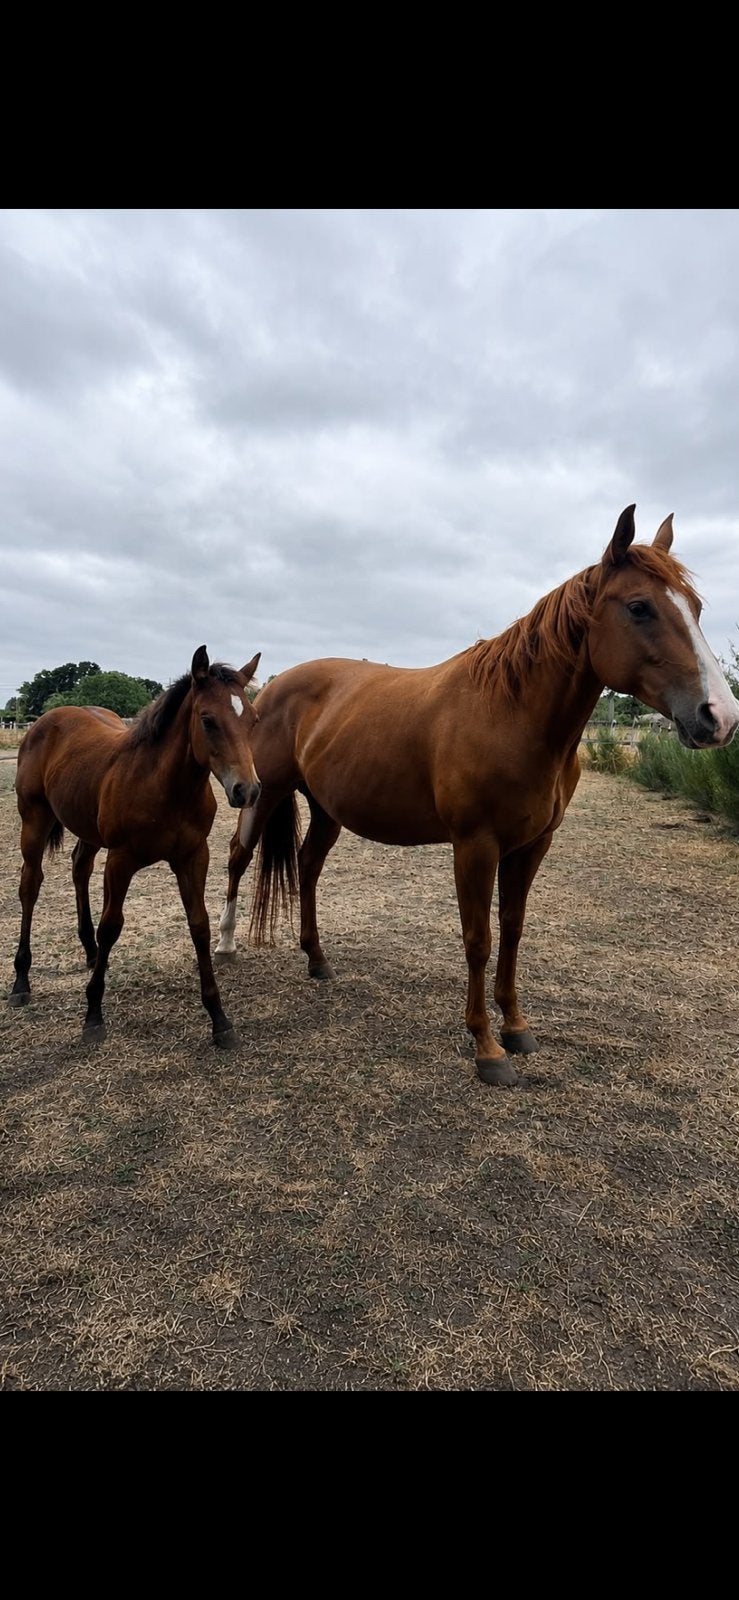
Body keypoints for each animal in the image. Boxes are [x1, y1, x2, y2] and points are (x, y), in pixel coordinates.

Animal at [9, 647, 262, 1049]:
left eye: (252, 719)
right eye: (207, 719)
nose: (247, 790)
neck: (165, 787)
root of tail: (46, 721)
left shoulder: (193, 857)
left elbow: (199, 925)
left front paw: (219, 1019)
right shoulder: (121, 860)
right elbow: (112, 926)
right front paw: (93, 1015)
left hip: (87, 829)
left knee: (79, 868)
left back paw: (91, 953)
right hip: (34, 819)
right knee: (30, 886)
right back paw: (21, 981)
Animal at [215, 507, 739, 1086]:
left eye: (695, 607)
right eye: (639, 607)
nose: (719, 716)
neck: (511, 715)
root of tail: (271, 686)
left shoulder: (531, 846)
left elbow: (511, 930)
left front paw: (516, 1028)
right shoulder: (475, 846)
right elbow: (478, 939)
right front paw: (487, 1048)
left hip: (328, 808)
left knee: (307, 868)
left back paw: (316, 959)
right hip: (261, 794)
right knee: (238, 857)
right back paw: (226, 944)